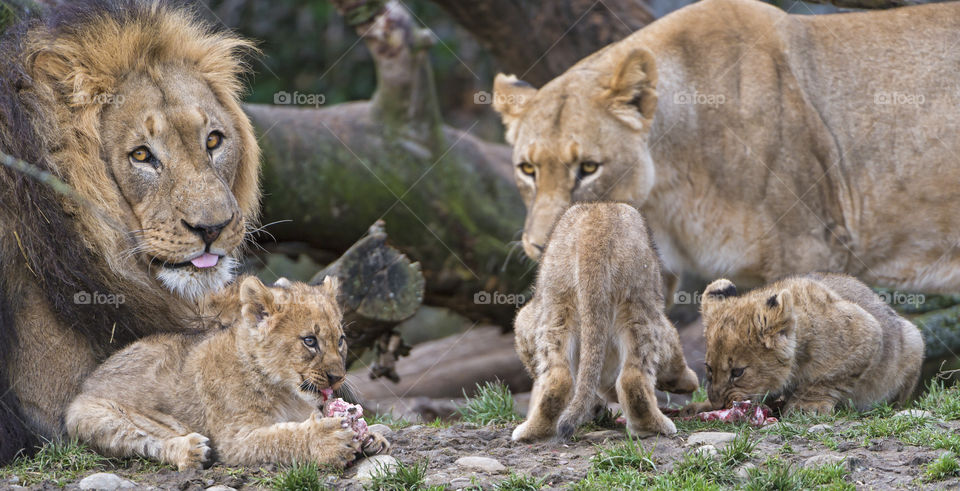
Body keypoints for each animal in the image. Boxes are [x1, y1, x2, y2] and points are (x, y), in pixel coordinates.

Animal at [66, 276, 389, 469]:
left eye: (340, 340)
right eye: (310, 341)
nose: (338, 377)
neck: (286, 392)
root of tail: (90, 379)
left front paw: (372, 436)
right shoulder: (234, 440)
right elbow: (280, 439)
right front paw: (328, 440)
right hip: (88, 416)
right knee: (146, 441)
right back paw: (191, 450)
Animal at [512, 203, 698, 442]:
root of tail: (596, 227)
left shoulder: (525, 322)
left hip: (560, 306)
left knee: (560, 377)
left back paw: (532, 432)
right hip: (637, 305)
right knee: (630, 377)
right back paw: (651, 428)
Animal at [684, 273, 924, 415]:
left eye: (737, 372)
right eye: (709, 369)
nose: (718, 406)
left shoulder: (867, 330)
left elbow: (827, 378)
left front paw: (806, 406)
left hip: (914, 339)